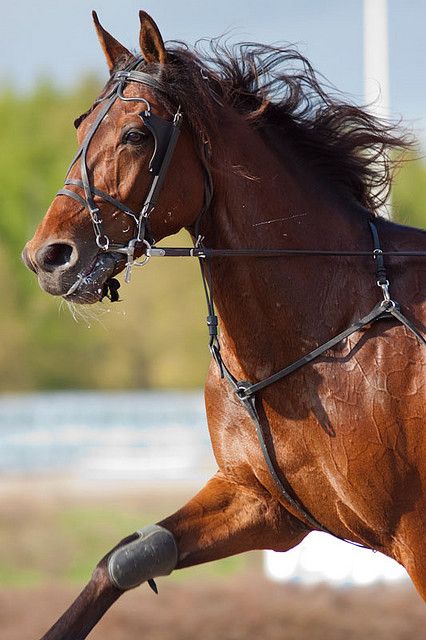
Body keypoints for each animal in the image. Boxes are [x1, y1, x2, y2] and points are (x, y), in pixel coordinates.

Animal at [22, 10, 426, 640]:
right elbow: (126, 558)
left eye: (136, 134)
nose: (48, 256)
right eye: (81, 125)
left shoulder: (416, 532)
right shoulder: (259, 501)